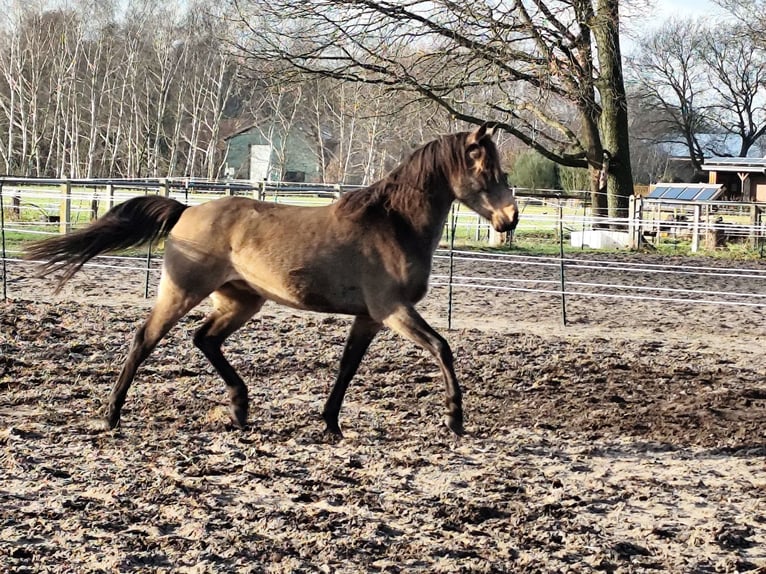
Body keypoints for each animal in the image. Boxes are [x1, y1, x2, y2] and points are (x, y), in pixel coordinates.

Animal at [28, 126, 520, 438]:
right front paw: (455, 419)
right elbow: (442, 347)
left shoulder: (369, 318)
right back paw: (112, 416)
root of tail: (186, 210)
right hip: (182, 292)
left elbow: (347, 367)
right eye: (487, 172)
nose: (510, 219)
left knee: (204, 339)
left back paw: (240, 409)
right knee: (144, 340)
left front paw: (330, 424)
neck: (393, 223)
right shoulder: (392, 310)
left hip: (241, 301)